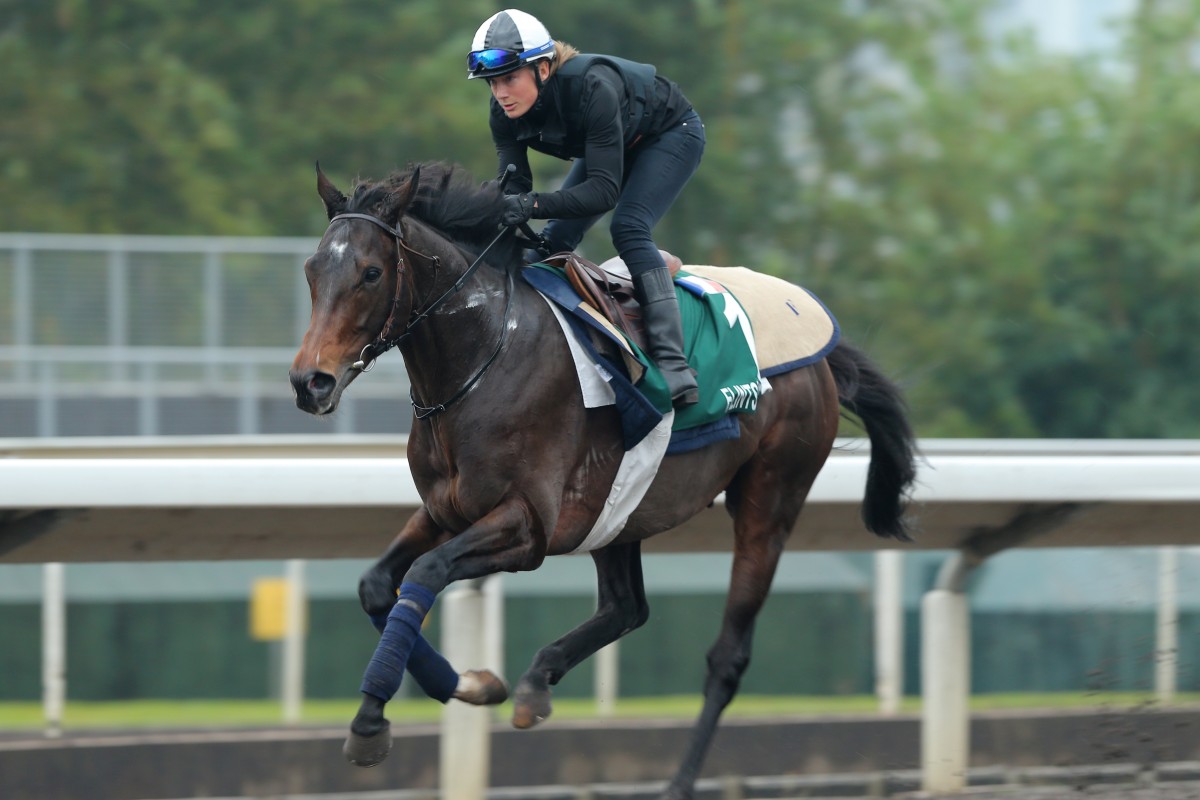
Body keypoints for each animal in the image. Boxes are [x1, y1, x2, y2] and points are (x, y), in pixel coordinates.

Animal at [290, 159, 916, 796]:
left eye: (370, 272)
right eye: (313, 269)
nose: (310, 382)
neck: (484, 354)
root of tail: (819, 340)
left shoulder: (527, 526)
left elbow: (425, 572)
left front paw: (370, 721)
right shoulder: (449, 510)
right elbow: (376, 585)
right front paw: (471, 685)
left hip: (771, 500)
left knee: (727, 655)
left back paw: (678, 781)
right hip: (620, 509)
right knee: (627, 607)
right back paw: (536, 683)